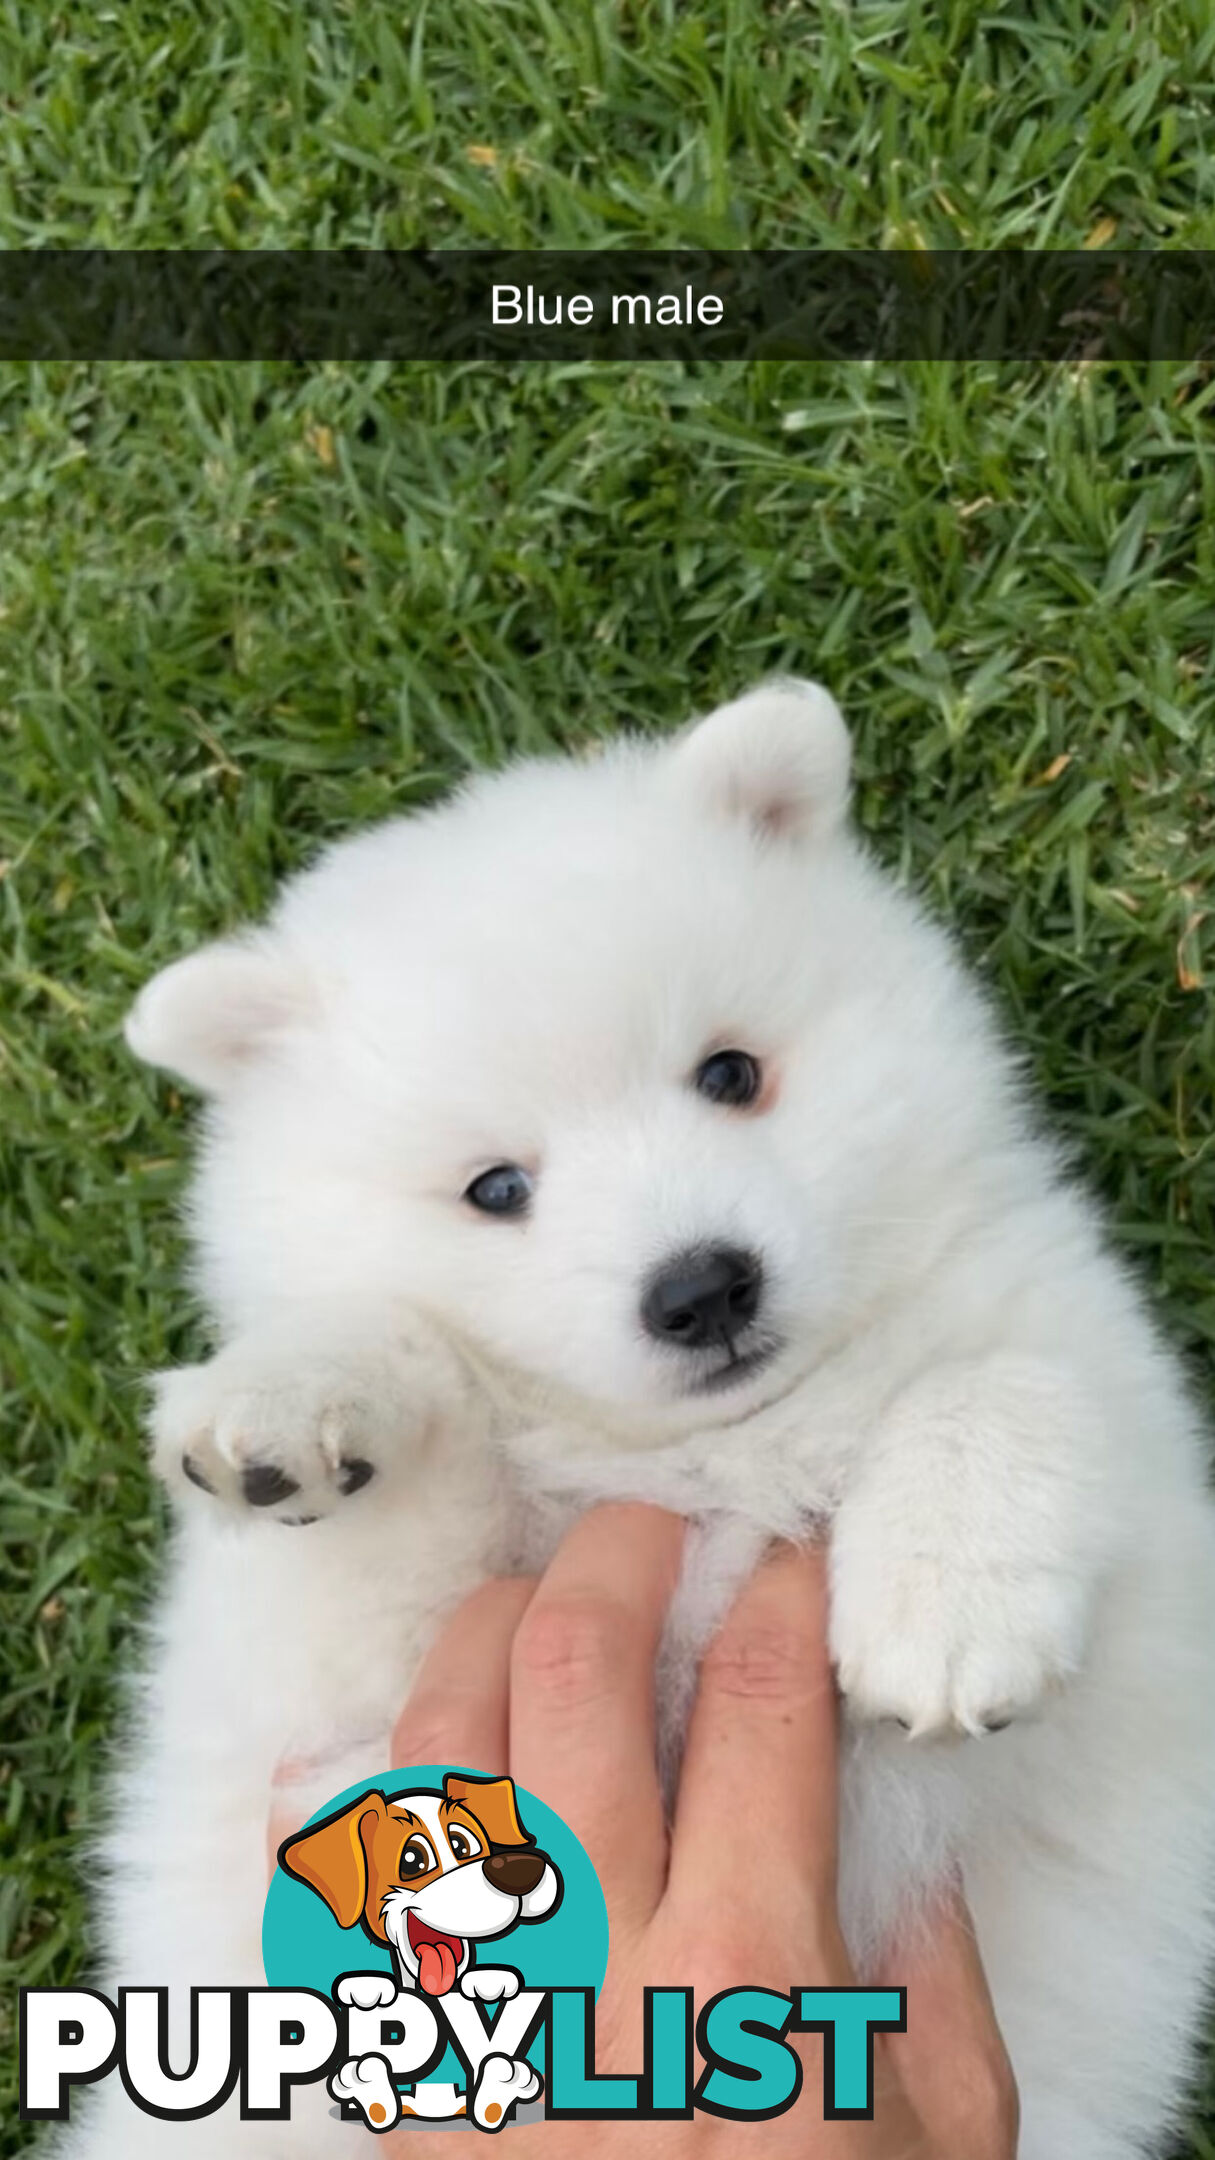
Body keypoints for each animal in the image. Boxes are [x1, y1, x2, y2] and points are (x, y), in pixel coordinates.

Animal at [61, 686, 1210, 2160]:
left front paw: (944, 1600)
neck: (705, 1449)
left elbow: (1005, 1383)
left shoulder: (1118, 1467)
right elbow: (406, 1420)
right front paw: (295, 1392)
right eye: (496, 1188)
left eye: (729, 1074)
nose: (701, 1286)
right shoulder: (343, 1687)